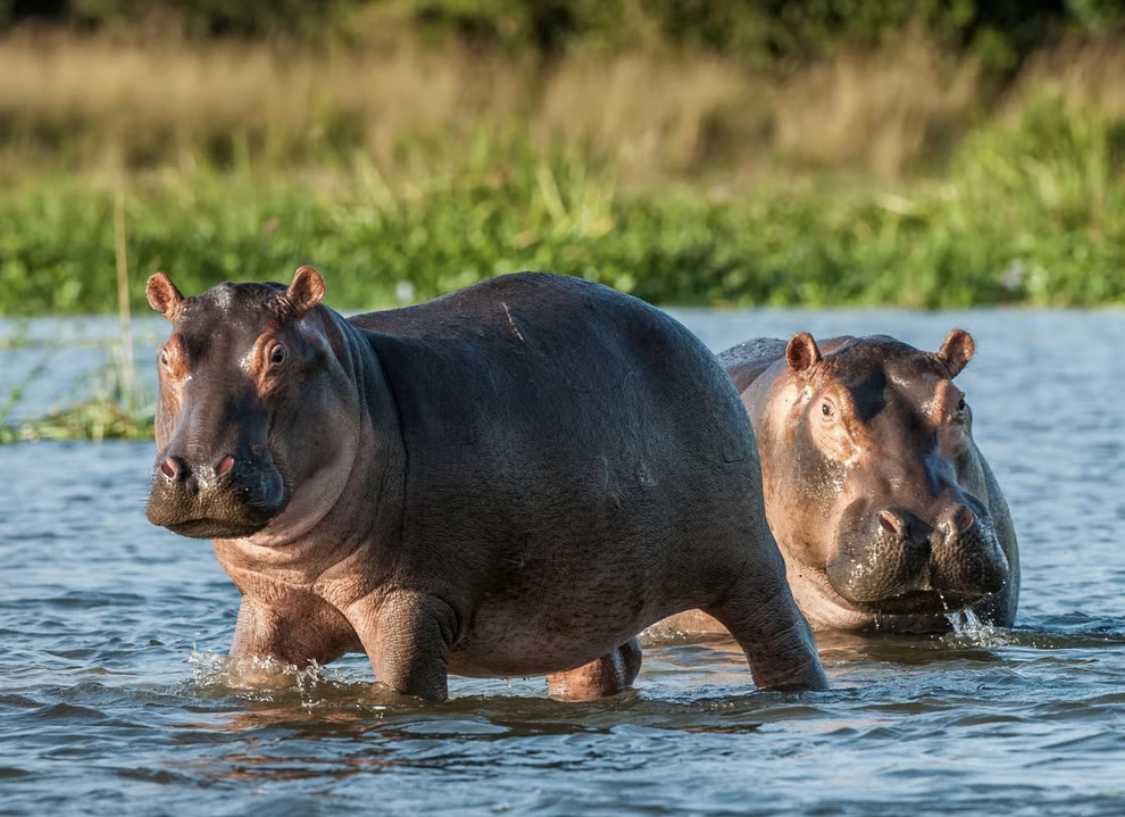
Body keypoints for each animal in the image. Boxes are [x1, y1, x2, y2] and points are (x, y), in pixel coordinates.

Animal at [142, 270, 828, 702]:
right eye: (166, 354)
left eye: (277, 353)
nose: (199, 471)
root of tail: (693, 341)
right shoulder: (269, 608)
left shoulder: (409, 603)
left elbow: (404, 691)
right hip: (583, 594)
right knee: (603, 664)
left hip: (748, 566)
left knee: (784, 640)